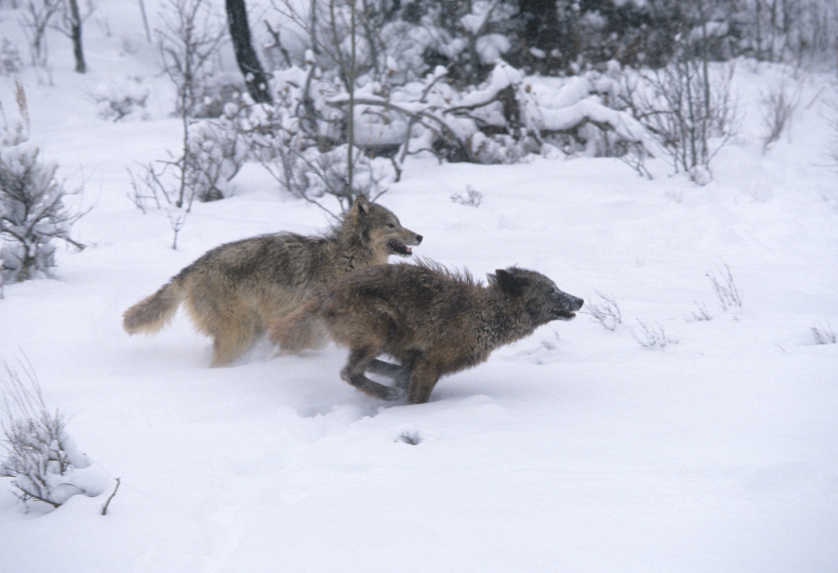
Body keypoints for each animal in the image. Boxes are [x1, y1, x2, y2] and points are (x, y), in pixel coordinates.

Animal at [121, 194, 424, 364]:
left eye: (400, 222)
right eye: (391, 225)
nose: (420, 236)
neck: (348, 259)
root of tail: (192, 268)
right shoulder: (308, 317)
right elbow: (309, 341)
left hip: (249, 329)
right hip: (240, 332)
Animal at [270, 262, 584, 404]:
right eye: (551, 290)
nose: (580, 300)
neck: (484, 315)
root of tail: (325, 296)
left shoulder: (419, 362)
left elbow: (404, 373)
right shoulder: (430, 364)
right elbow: (417, 399)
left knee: (364, 367)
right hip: (383, 327)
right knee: (349, 372)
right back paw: (387, 394)